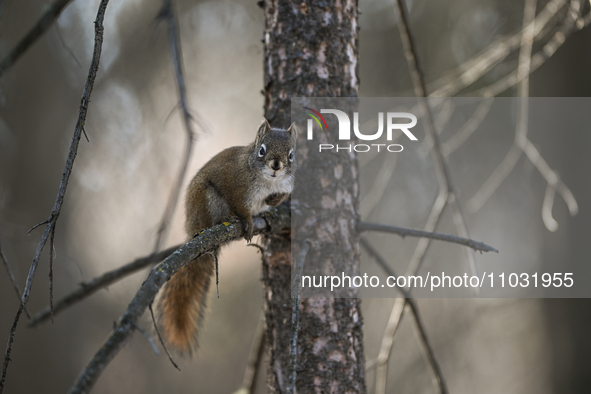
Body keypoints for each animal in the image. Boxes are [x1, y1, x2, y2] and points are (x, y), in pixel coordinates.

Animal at [156, 118, 296, 352]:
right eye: (262, 150)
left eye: (292, 155)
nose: (276, 166)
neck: (269, 181)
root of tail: (192, 229)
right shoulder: (235, 185)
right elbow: (240, 205)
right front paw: (248, 221)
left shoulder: (285, 186)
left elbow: (283, 195)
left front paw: (272, 202)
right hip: (206, 201)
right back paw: (227, 219)